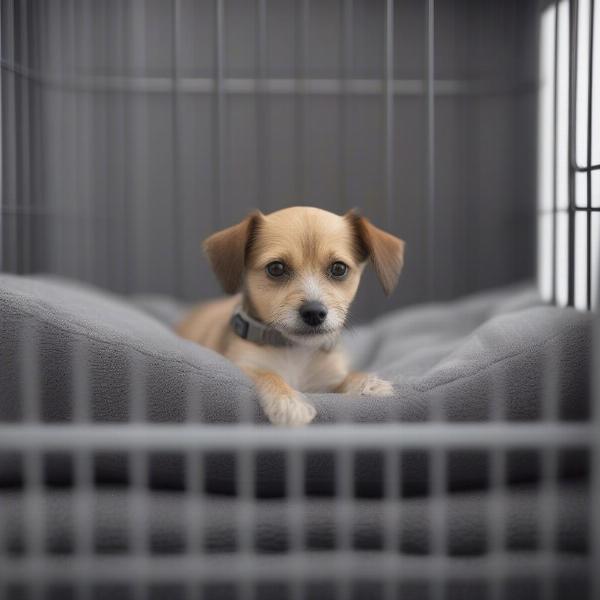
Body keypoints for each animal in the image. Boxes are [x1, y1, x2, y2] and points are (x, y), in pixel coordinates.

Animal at [176, 206, 406, 426]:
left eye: (339, 268)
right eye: (276, 268)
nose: (314, 313)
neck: (296, 351)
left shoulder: (328, 379)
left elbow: (345, 378)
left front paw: (367, 382)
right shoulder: (244, 365)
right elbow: (268, 375)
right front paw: (288, 402)